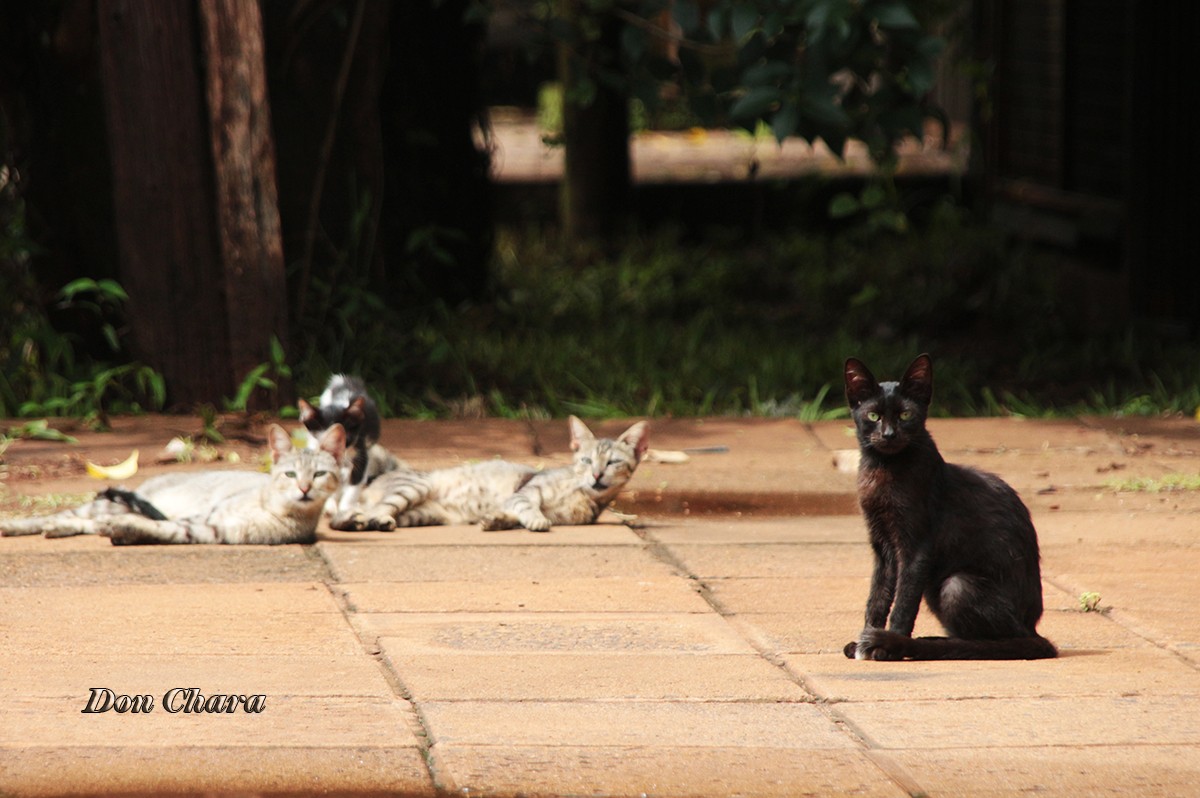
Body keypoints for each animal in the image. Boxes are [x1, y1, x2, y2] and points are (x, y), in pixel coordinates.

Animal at [1, 420, 348, 544]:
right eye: (290, 475)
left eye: (318, 475)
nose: (304, 489)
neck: (272, 507)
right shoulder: (205, 517)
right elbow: (160, 524)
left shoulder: (212, 531)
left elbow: (164, 529)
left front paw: (129, 531)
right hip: (113, 502)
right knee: (67, 515)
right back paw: (18, 525)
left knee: (91, 522)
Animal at [840, 355, 1056, 657]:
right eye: (873, 416)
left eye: (905, 415)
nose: (889, 434)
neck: (883, 467)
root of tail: (1033, 627)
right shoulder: (882, 545)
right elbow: (877, 595)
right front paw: (865, 638)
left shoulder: (917, 546)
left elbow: (904, 599)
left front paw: (890, 643)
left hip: (956, 586)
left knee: (999, 642)